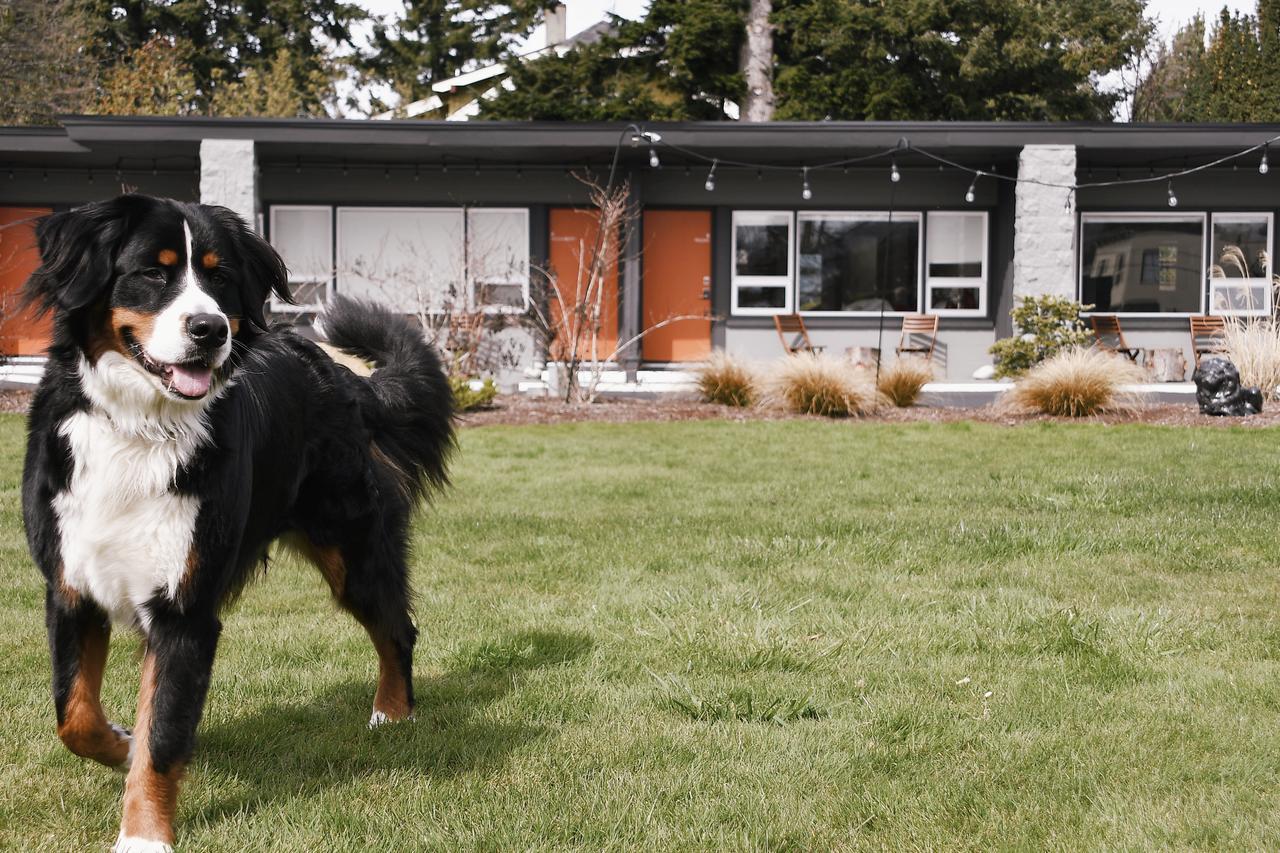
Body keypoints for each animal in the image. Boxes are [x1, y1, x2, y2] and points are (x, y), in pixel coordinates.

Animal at [23, 194, 455, 850]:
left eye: (220, 277)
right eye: (152, 273)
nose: (211, 329)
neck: (140, 429)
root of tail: (340, 374)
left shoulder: (185, 610)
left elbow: (162, 737)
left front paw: (144, 835)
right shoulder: (73, 586)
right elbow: (75, 716)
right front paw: (122, 742)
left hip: (352, 549)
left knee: (397, 628)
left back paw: (392, 713)